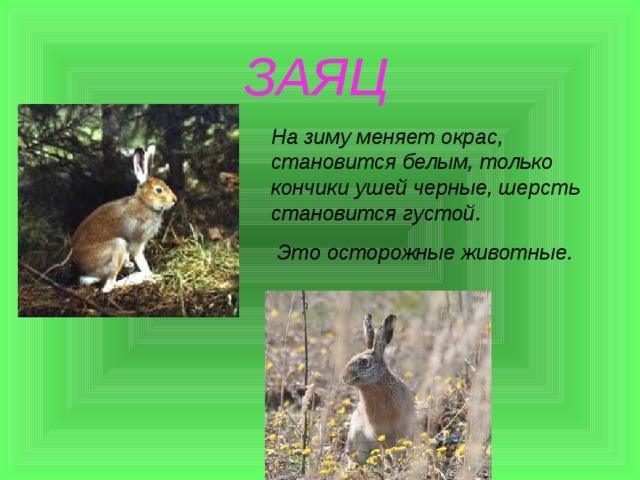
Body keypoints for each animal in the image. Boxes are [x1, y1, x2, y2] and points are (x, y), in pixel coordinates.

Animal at [71, 145, 177, 293]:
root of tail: (83, 272)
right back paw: (137, 278)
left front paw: (130, 264)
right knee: (108, 287)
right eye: (159, 190)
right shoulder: (137, 243)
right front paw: (152, 277)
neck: (145, 203)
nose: (174, 200)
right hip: (118, 246)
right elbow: (142, 261)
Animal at [341, 313, 416, 464]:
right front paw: (389, 465)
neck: (375, 385)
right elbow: (384, 450)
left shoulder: (399, 428)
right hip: (355, 435)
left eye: (363, 362)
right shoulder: (377, 431)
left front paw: (397, 463)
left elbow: (397, 447)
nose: (343, 377)